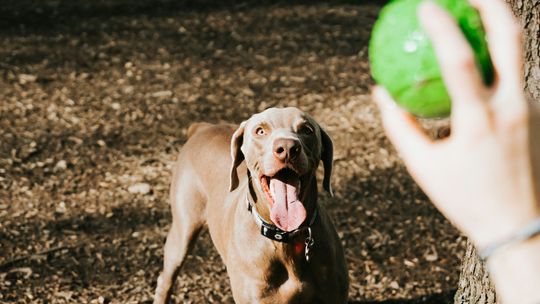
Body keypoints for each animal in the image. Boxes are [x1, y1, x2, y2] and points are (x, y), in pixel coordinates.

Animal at [153, 107, 346, 304]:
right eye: (260, 131)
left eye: (307, 130)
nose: (287, 148)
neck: (286, 238)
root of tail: (202, 128)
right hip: (182, 232)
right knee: (165, 279)